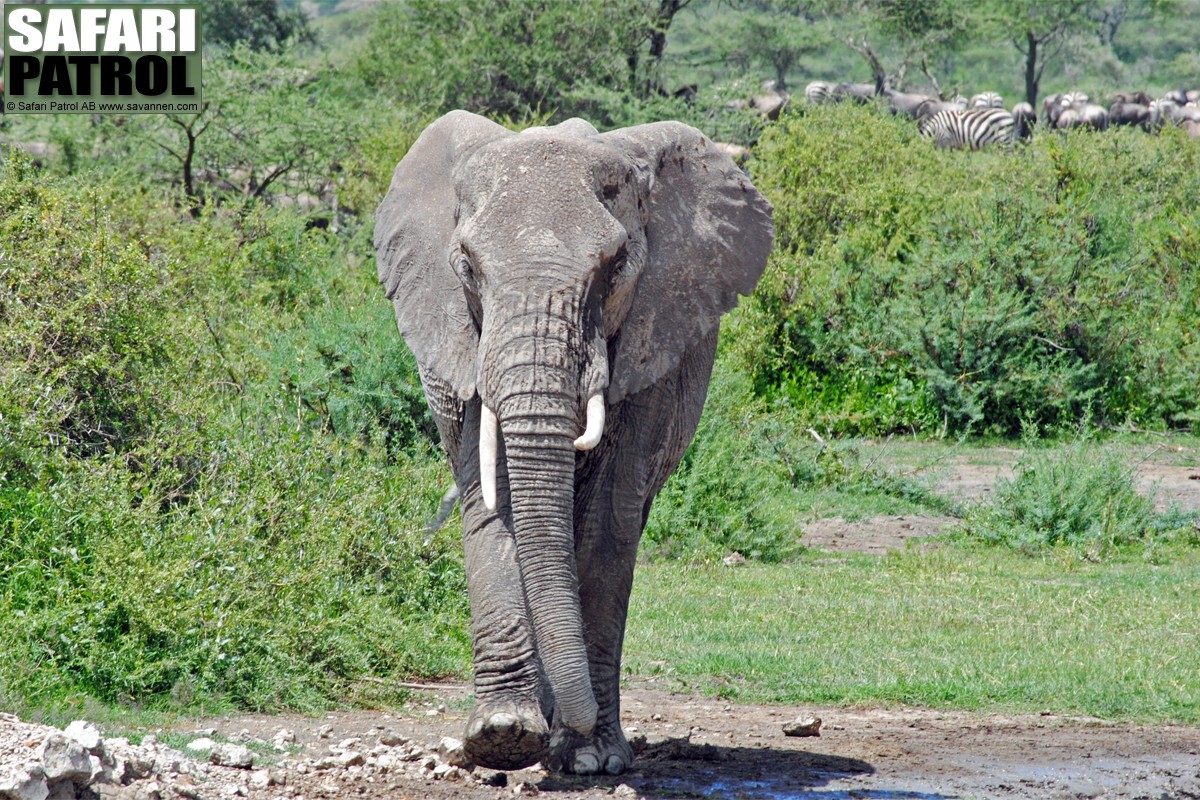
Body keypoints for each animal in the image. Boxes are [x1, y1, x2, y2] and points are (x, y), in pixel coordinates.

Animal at [369, 110, 772, 777]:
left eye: (614, 267)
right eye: (468, 267)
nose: (572, 732)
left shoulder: (650, 344)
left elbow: (609, 516)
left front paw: (589, 757)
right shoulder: (463, 345)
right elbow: (492, 498)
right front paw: (503, 738)